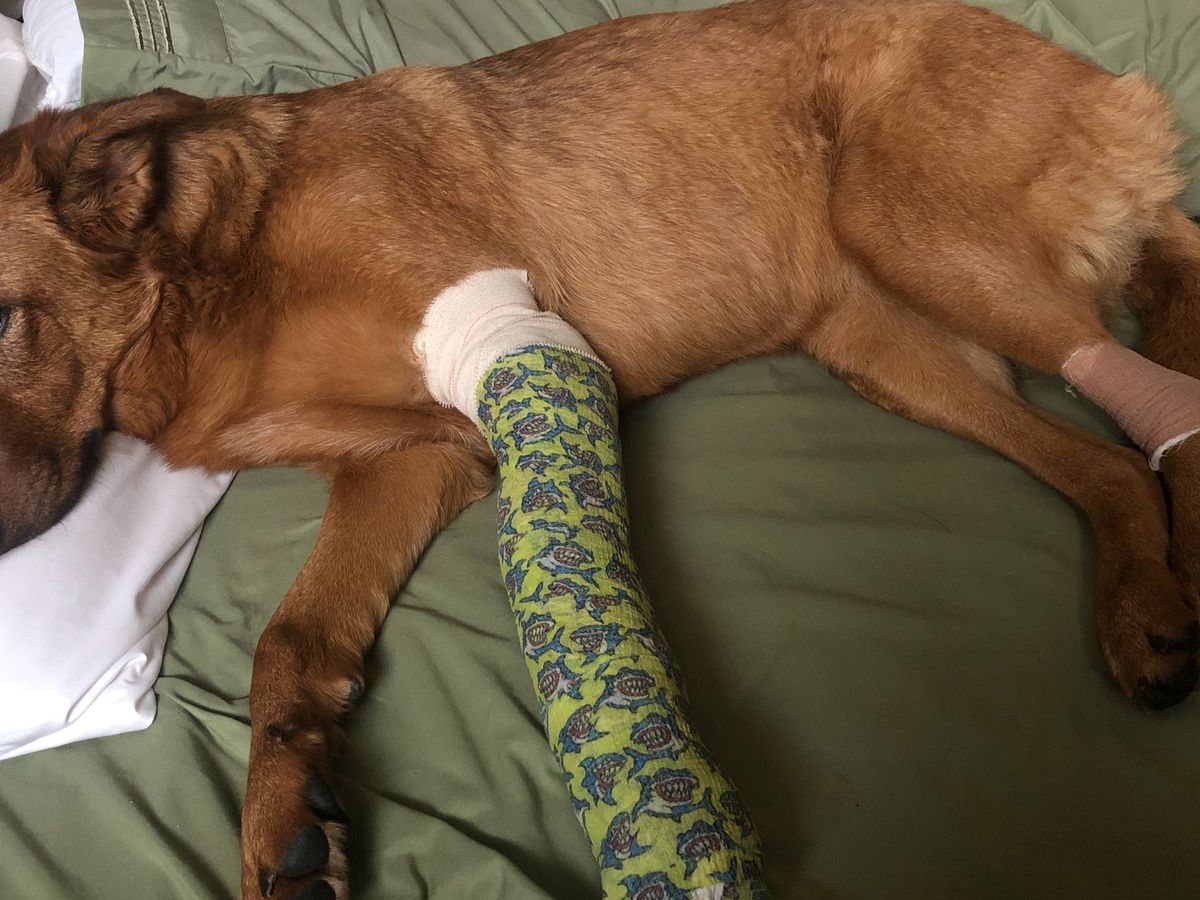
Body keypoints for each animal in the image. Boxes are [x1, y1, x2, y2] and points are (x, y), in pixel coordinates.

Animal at [1, 0, 1198, 896]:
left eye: (3, 318)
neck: (198, 283)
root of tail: (1107, 87)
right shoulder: (421, 455)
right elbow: (290, 642)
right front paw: (282, 811)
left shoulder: (493, 365)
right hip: (883, 343)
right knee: (1109, 461)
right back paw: (1146, 601)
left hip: (918, 230)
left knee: (1157, 372)